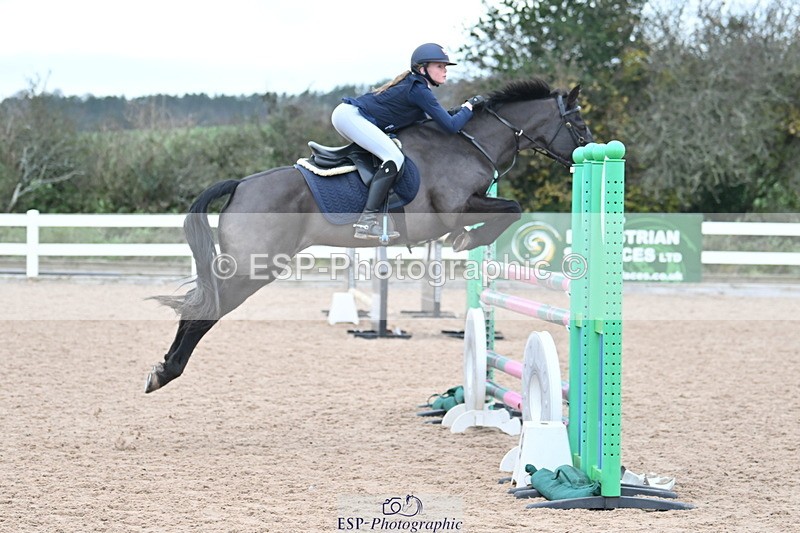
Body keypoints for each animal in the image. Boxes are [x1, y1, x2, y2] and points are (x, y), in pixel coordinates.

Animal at [145, 78, 592, 393]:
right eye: (578, 122)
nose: (589, 149)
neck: (469, 144)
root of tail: (240, 184)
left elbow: (509, 209)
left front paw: (468, 241)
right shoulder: (454, 208)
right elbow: (511, 208)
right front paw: (467, 241)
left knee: (200, 304)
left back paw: (163, 368)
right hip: (251, 269)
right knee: (205, 310)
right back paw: (167, 372)